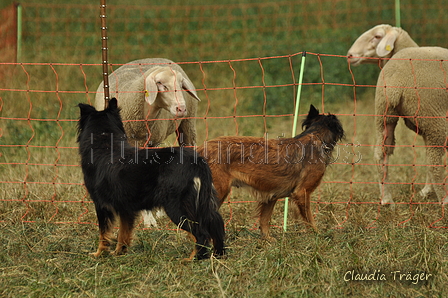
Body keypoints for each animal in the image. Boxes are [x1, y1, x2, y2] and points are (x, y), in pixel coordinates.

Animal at [196, 105, 344, 240]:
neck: (316, 136)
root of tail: (199, 150)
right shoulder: (302, 192)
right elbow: (310, 219)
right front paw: (318, 235)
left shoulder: (271, 196)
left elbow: (264, 221)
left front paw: (268, 241)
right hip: (218, 192)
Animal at [346, 24, 448, 204]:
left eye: (377, 36)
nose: (349, 56)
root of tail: (397, 79)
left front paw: (426, 191)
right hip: (435, 118)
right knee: (434, 162)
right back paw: (444, 200)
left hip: (384, 113)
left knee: (381, 153)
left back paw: (386, 199)